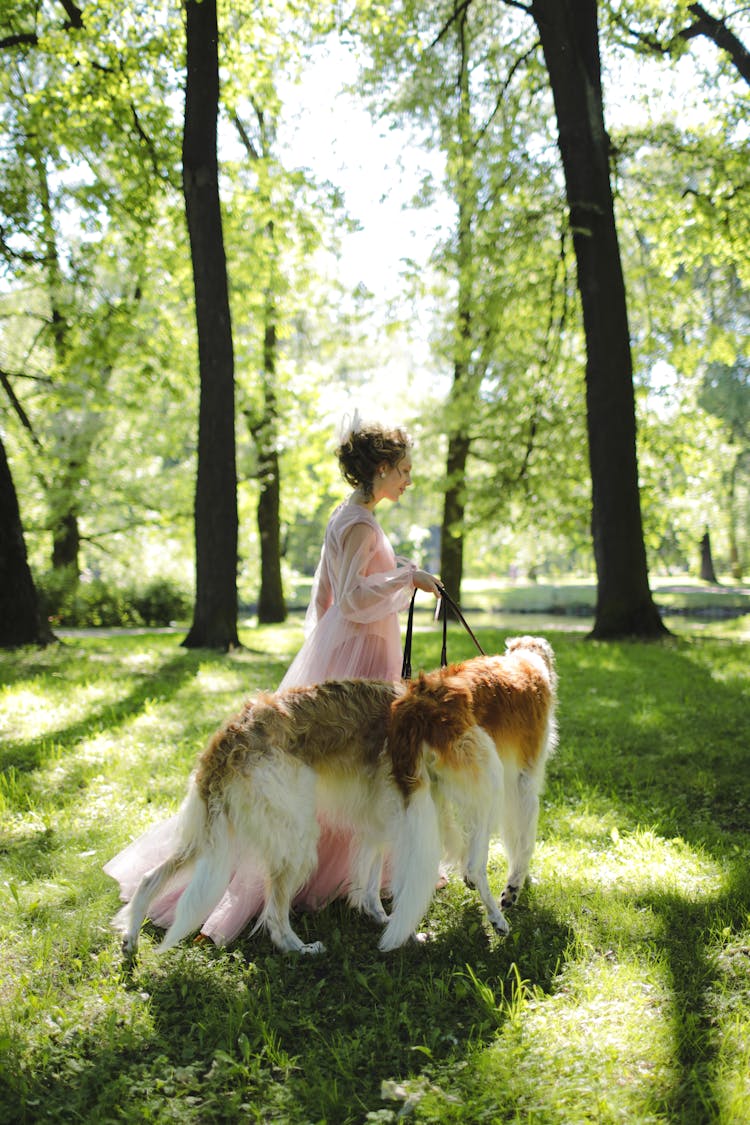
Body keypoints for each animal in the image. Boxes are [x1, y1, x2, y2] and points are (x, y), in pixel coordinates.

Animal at [113, 639, 557, 954]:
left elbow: (370, 881)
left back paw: (131, 938)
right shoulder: (516, 786)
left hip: (211, 831)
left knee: (151, 876)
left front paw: (380, 918)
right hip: (298, 836)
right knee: (274, 914)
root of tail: (231, 736)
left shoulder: (382, 818)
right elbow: (517, 846)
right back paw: (301, 948)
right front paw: (510, 892)